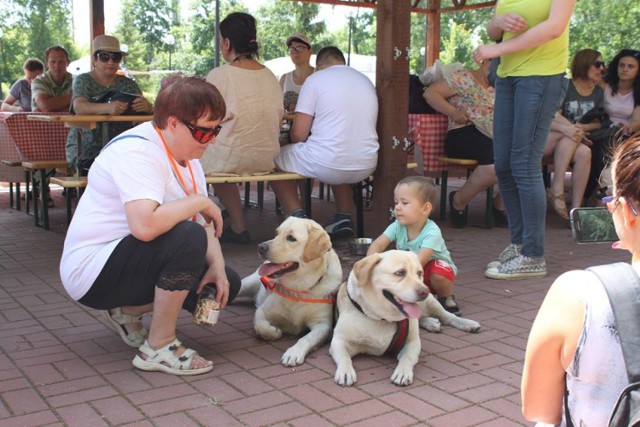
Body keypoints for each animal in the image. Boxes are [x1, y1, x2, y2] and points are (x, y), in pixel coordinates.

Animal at [238, 219, 342, 366]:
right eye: (276, 233)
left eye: (291, 238)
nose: (260, 247)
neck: (298, 287)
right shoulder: (263, 310)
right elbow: (260, 324)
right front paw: (273, 332)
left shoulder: (322, 325)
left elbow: (306, 338)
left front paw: (293, 353)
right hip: (247, 283)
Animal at [332, 251, 478, 388]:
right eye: (400, 273)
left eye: (419, 273)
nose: (424, 291)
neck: (382, 318)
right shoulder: (339, 340)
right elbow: (344, 357)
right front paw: (345, 372)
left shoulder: (412, 342)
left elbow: (407, 358)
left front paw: (402, 373)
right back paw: (431, 322)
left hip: (431, 302)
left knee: (447, 316)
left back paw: (467, 323)